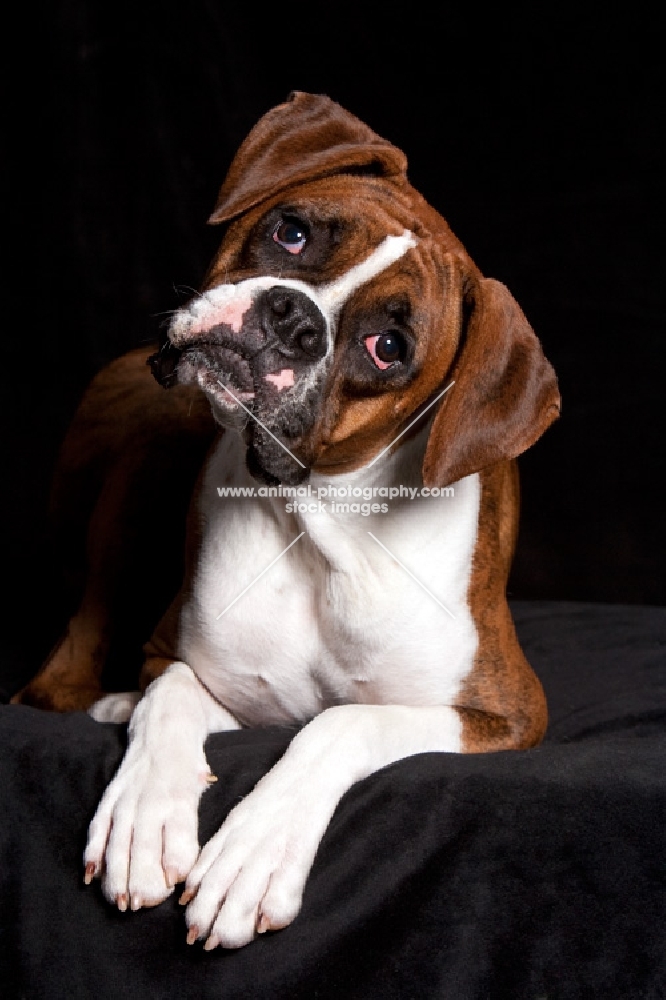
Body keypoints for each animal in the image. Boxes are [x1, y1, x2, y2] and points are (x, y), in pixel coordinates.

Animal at [13, 94, 556, 952]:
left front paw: (254, 853)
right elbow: (169, 698)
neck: (321, 532)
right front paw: (143, 817)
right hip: (144, 444)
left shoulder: (504, 715)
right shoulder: (184, 663)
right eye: (291, 232)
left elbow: (340, 724)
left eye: (387, 346)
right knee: (69, 659)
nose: (290, 314)